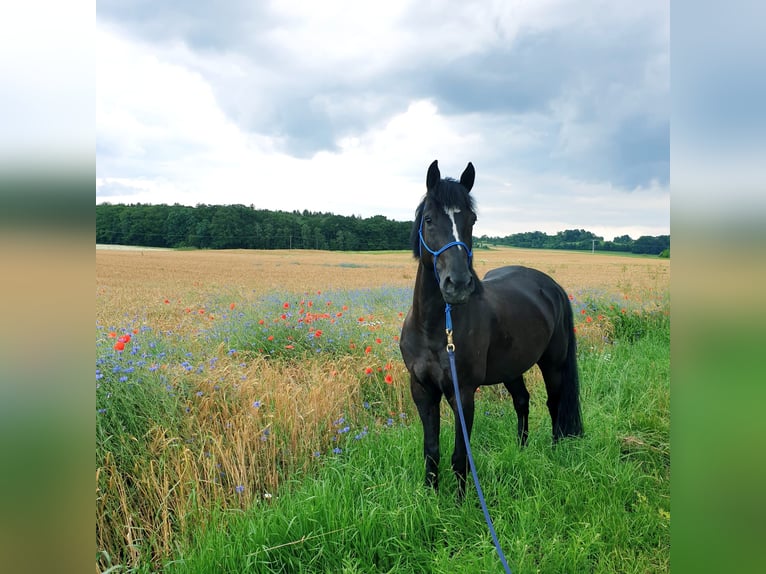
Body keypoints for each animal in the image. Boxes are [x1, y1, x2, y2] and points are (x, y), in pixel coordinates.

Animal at [400, 160, 584, 498]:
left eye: (471, 219)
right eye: (429, 220)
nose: (458, 284)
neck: (434, 327)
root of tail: (551, 286)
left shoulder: (463, 393)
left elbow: (460, 455)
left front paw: (459, 504)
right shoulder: (422, 390)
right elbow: (431, 449)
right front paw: (430, 497)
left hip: (553, 364)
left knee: (554, 404)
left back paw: (554, 452)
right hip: (511, 368)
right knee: (522, 401)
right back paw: (522, 450)